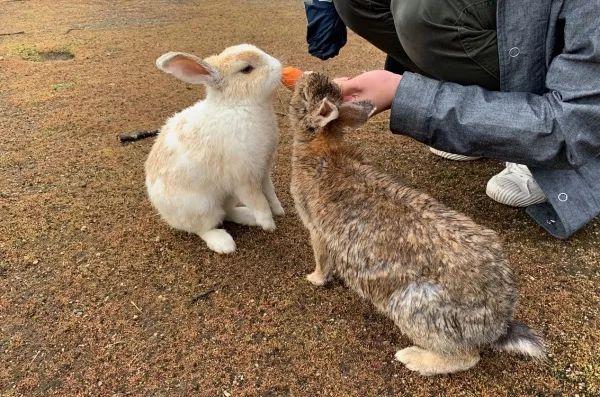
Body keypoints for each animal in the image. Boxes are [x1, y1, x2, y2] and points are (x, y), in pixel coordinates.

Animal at [146, 44, 286, 254]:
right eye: (247, 69)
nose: (279, 66)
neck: (237, 105)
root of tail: (165, 213)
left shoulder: (263, 171)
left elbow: (270, 192)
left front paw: (278, 210)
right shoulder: (244, 179)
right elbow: (259, 201)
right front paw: (269, 224)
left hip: (226, 197)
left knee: (226, 213)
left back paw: (247, 217)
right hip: (202, 207)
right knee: (204, 228)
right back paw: (224, 243)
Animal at [288, 72, 548, 374]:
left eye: (305, 95)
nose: (304, 75)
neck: (322, 146)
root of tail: (497, 324)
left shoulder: (316, 230)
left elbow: (322, 259)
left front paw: (314, 279)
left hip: (412, 304)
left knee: (466, 357)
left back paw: (412, 357)